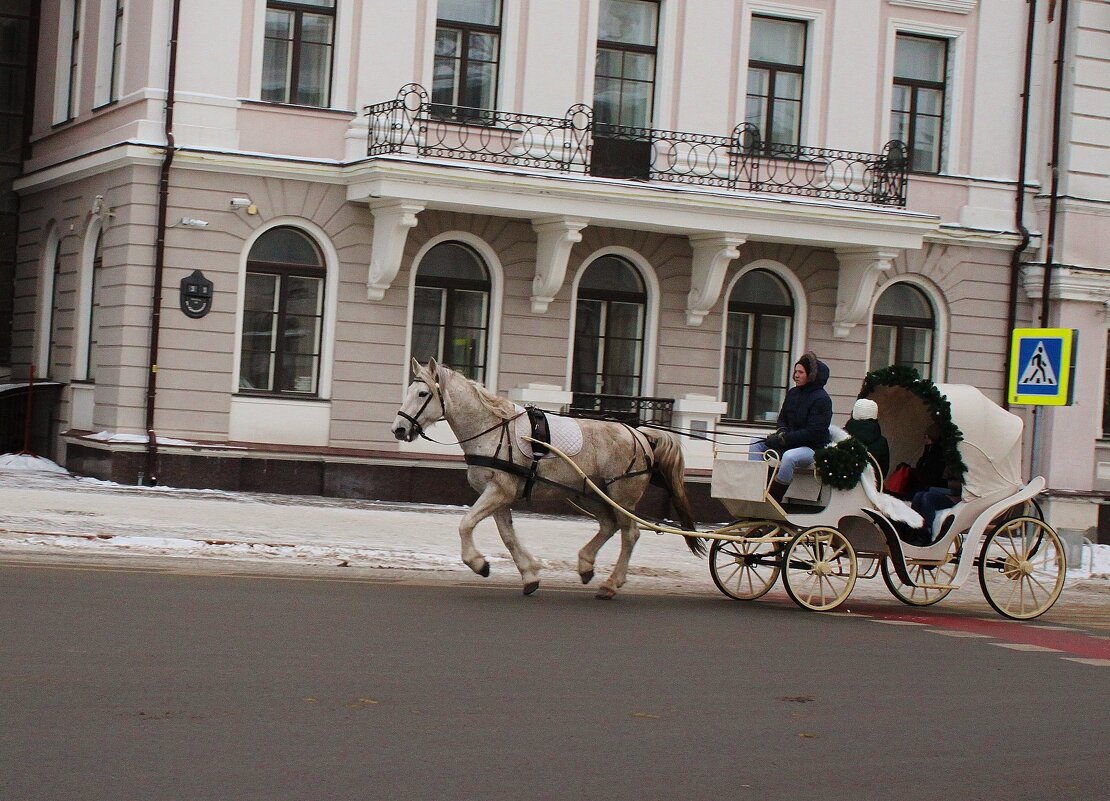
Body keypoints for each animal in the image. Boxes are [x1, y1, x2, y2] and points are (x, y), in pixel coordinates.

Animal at [390, 359, 701, 594]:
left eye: (422, 394)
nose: (399, 429)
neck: (493, 429)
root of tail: (641, 434)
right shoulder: (500, 496)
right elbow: (508, 537)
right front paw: (529, 574)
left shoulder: (499, 491)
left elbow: (466, 524)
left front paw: (478, 563)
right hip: (589, 494)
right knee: (609, 526)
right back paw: (586, 565)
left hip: (621, 497)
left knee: (630, 534)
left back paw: (611, 584)